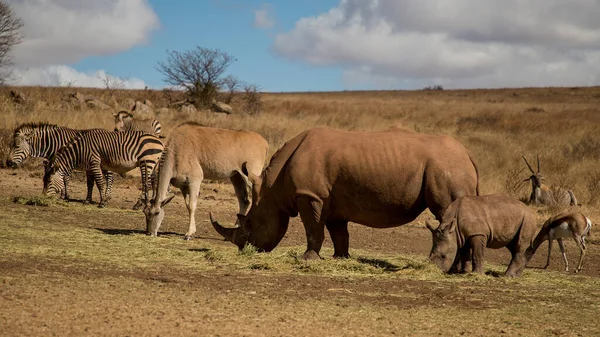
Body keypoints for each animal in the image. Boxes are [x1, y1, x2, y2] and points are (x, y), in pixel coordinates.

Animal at [211, 126, 478, 260]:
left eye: (250, 224)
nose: (245, 249)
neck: (273, 189)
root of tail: (468, 153)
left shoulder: (310, 195)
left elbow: (313, 229)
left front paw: (307, 259)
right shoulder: (331, 203)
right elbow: (338, 233)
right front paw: (341, 258)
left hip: (445, 166)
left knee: (447, 212)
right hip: (449, 164)